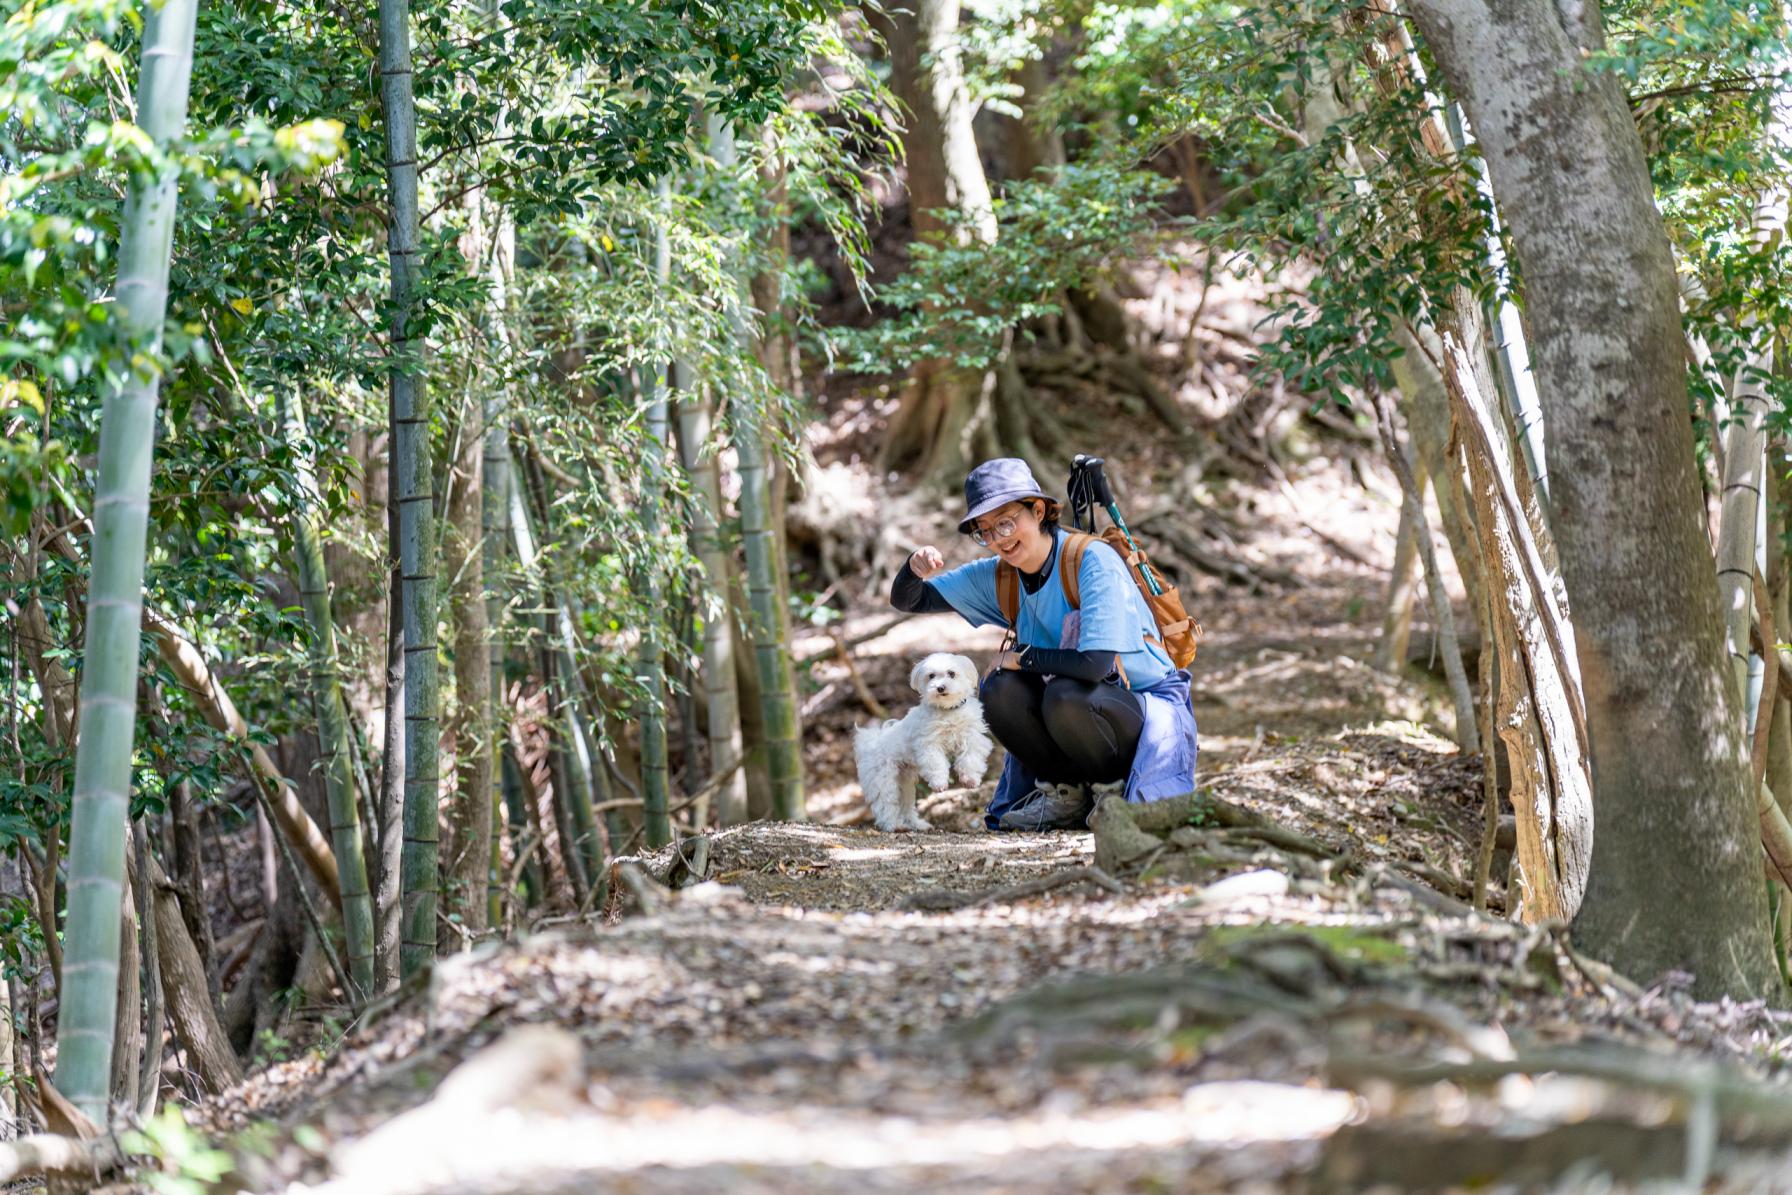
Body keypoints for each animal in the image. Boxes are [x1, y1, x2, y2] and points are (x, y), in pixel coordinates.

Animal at [852, 655, 996, 831]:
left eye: (951, 673)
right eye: (931, 676)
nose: (940, 687)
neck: (948, 711)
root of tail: (869, 743)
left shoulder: (972, 737)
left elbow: (971, 758)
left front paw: (970, 780)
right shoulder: (929, 745)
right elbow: (936, 764)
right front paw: (939, 783)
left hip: (904, 782)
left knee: (906, 805)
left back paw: (917, 825)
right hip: (883, 780)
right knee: (885, 804)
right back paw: (893, 825)